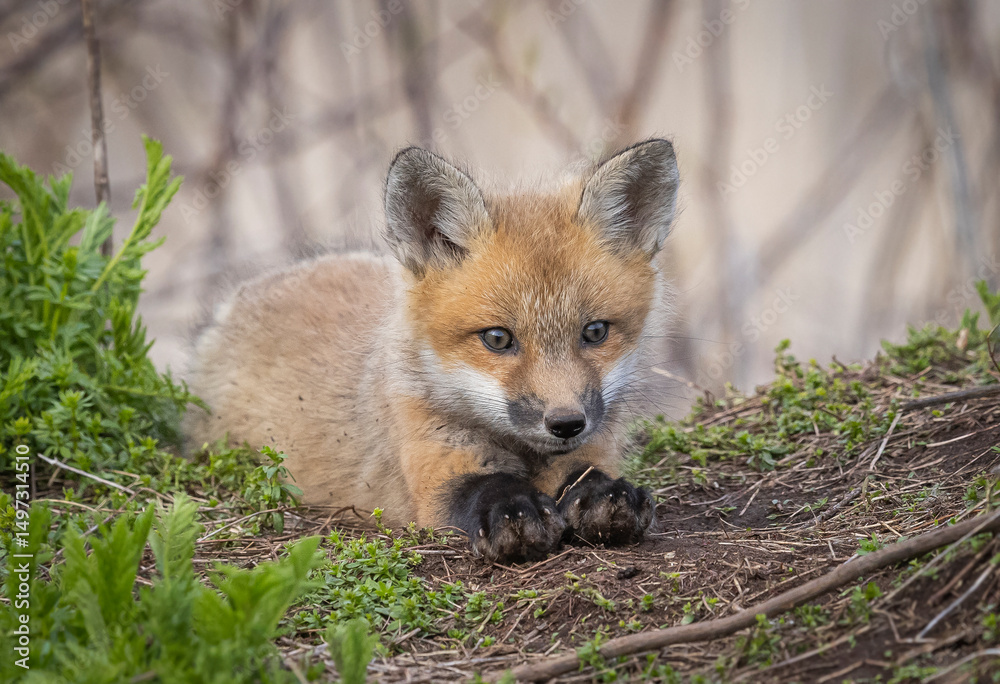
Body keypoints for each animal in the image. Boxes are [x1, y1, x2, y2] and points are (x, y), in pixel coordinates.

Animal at [184, 138, 680, 563]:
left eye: (594, 332)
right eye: (497, 339)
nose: (565, 424)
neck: (522, 453)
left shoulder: (592, 449)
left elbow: (588, 475)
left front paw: (604, 496)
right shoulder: (431, 469)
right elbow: (483, 490)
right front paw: (514, 512)